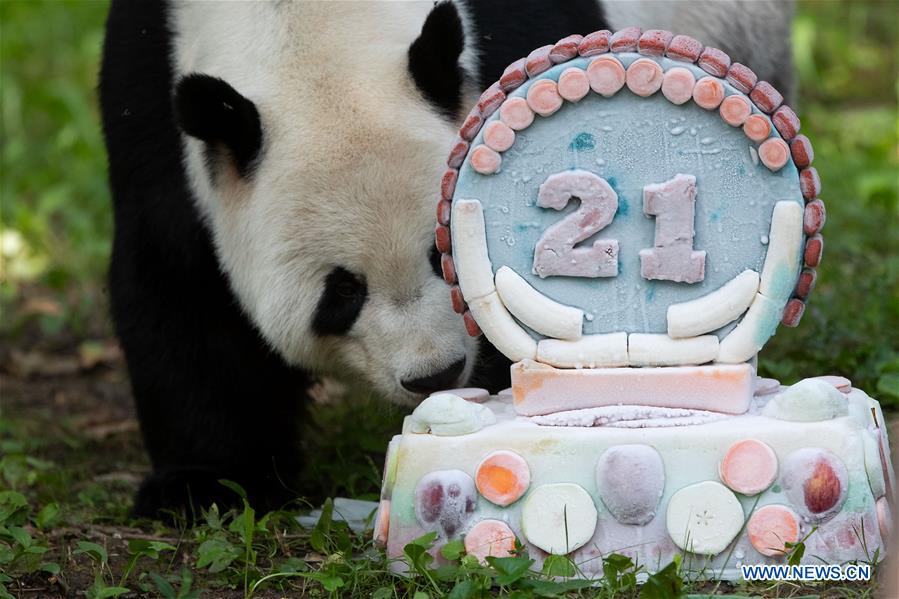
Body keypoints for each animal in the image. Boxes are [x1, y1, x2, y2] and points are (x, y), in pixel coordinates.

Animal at [100, 0, 796, 516]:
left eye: (441, 258)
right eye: (341, 292)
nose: (433, 376)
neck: (305, 29)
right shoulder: (154, 98)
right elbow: (179, 290)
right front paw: (203, 488)